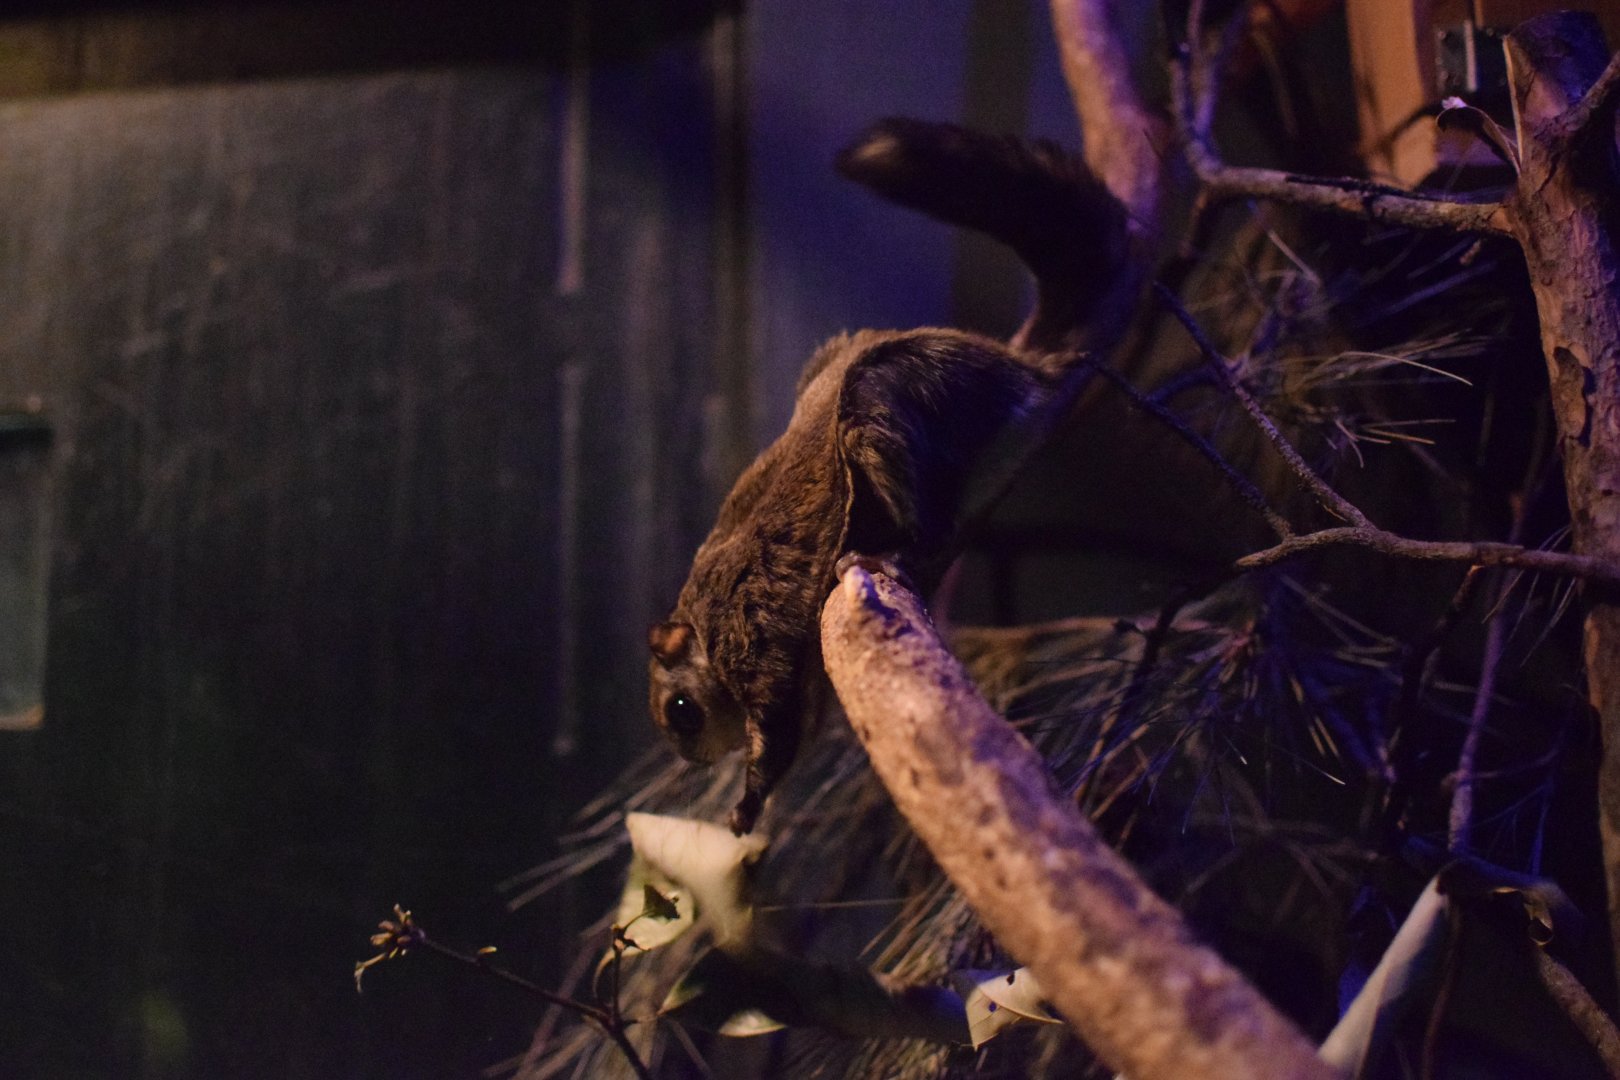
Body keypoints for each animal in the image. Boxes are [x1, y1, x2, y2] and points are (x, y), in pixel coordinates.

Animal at [649, 119, 1127, 834]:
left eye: (679, 712)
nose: (693, 760)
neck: (705, 624)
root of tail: (1017, 369)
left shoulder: (754, 639)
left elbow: (778, 735)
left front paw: (748, 804)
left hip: (882, 401)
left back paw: (886, 550)